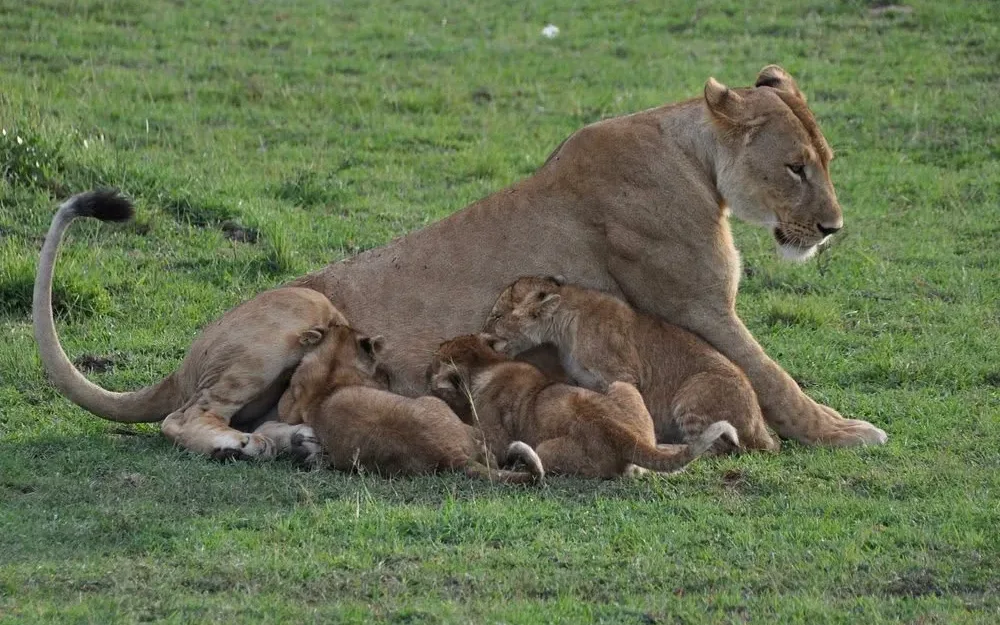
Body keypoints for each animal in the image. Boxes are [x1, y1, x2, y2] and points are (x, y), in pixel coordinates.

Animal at [427, 334, 738, 479]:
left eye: (440, 353)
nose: (436, 348)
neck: (487, 363)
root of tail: (623, 434)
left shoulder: (496, 438)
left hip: (545, 449)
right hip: (620, 386)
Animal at [485, 276, 780, 453]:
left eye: (497, 316)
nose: (482, 334)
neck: (564, 328)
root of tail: (760, 426)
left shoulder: (622, 374)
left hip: (695, 391)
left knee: (714, 447)